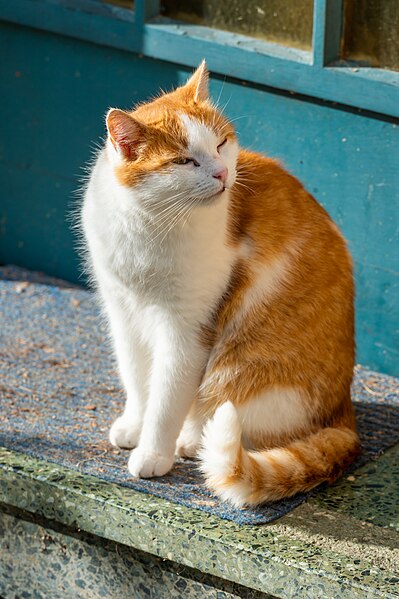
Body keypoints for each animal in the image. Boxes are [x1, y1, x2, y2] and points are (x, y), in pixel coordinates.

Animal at [82, 62, 362, 506]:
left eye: (221, 143)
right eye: (183, 161)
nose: (223, 172)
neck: (149, 224)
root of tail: (343, 411)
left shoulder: (186, 330)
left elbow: (165, 400)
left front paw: (152, 452)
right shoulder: (123, 313)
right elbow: (137, 379)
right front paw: (134, 424)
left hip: (239, 375)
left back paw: (189, 440)